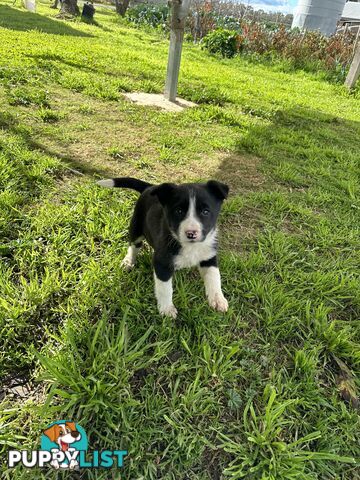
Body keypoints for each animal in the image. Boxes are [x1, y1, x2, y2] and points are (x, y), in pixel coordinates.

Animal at [97, 178, 229, 316]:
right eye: (179, 211)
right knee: (134, 245)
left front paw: (218, 300)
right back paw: (128, 261)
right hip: (136, 225)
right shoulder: (162, 262)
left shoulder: (209, 256)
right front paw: (166, 309)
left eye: (205, 212)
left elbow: (214, 277)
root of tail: (150, 187)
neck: (190, 246)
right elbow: (165, 288)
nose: (191, 233)